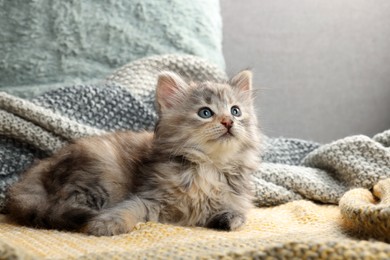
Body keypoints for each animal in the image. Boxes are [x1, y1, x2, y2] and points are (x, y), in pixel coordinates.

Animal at [6, 70, 260, 237]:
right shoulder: (150, 198)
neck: (209, 165)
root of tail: (41, 169)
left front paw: (227, 220)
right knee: (61, 207)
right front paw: (105, 224)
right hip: (98, 177)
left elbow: (238, 214)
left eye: (235, 111)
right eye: (205, 113)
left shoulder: (236, 199)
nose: (228, 122)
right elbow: (129, 209)